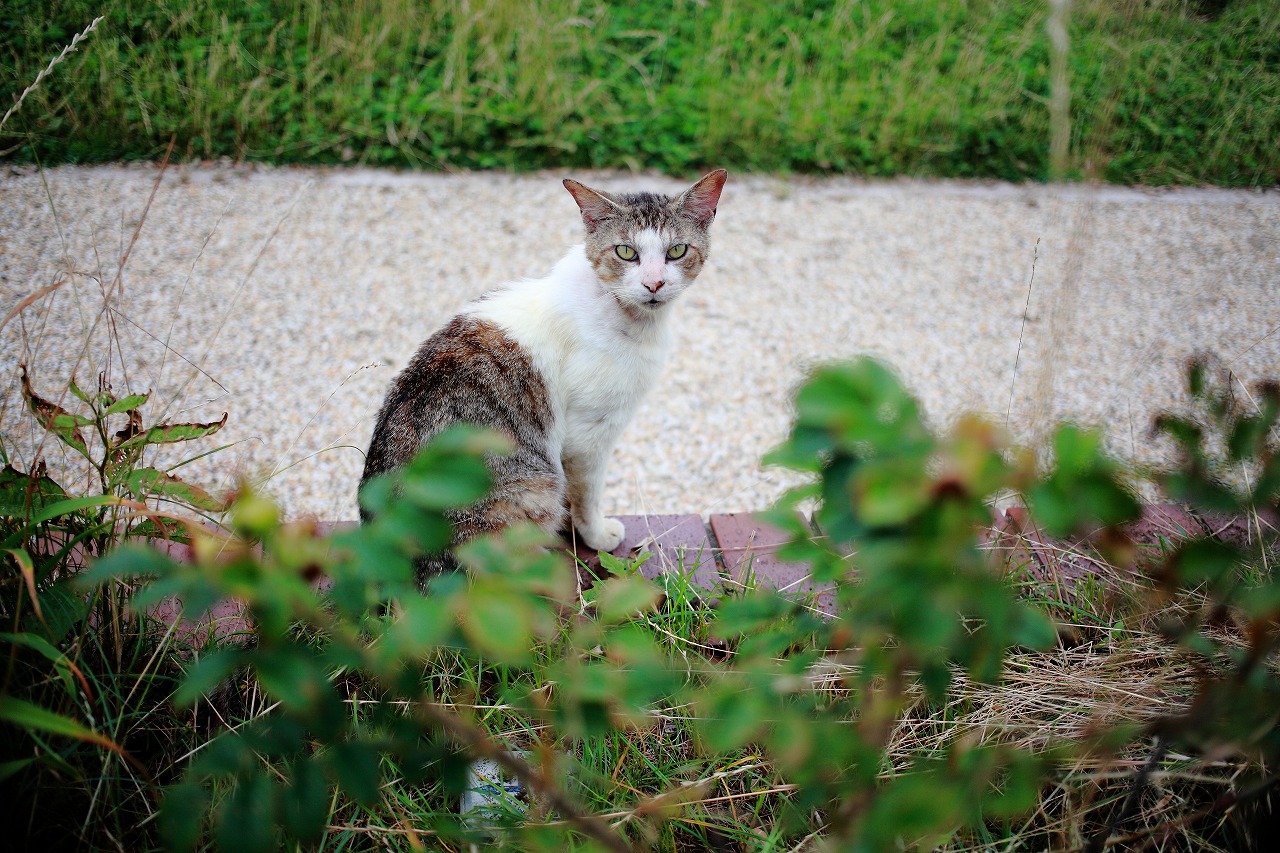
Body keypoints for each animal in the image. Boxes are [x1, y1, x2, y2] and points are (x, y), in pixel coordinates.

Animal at [360, 167, 732, 578]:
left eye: (676, 251)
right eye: (626, 252)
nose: (654, 283)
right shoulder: (589, 435)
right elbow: (587, 494)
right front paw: (595, 533)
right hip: (531, 489)